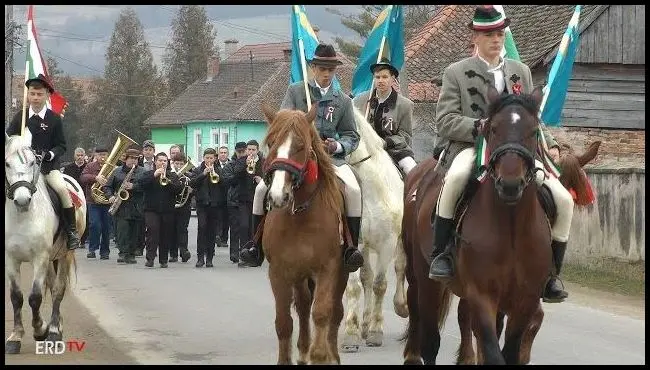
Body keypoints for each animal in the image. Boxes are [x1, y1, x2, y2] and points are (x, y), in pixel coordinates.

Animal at [4, 134, 85, 354]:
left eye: (33, 162)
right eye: (7, 163)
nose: (22, 200)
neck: (23, 216)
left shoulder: (39, 257)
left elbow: (35, 297)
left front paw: (40, 330)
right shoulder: (11, 258)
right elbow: (16, 296)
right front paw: (15, 337)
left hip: (64, 255)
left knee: (58, 290)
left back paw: (55, 331)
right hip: (51, 258)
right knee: (52, 283)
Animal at [260, 102, 350, 364]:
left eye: (300, 146)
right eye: (271, 143)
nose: (278, 196)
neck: (299, 213)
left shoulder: (328, 268)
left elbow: (322, 312)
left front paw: (320, 355)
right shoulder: (279, 271)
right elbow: (284, 322)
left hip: (340, 273)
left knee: (335, 311)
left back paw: (331, 354)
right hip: (299, 274)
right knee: (302, 305)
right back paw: (302, 350)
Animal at [340, 105, 404, 352]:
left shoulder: (388, 243)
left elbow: (380, 284)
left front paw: (376, 331)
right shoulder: (356, 243)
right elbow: (356, 286)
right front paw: (352, 333)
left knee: (401, 269)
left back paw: (401, 308)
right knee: (366, 277)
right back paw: (364, 324)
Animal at [398, 86, 588, 364]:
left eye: (534, 131)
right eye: (494, 128)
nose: (510, 184)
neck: (511, 227)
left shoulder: (525, 300)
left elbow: (509, 350)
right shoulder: (482, 296)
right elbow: (491, 350)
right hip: (423, 278)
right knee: (429, 337)